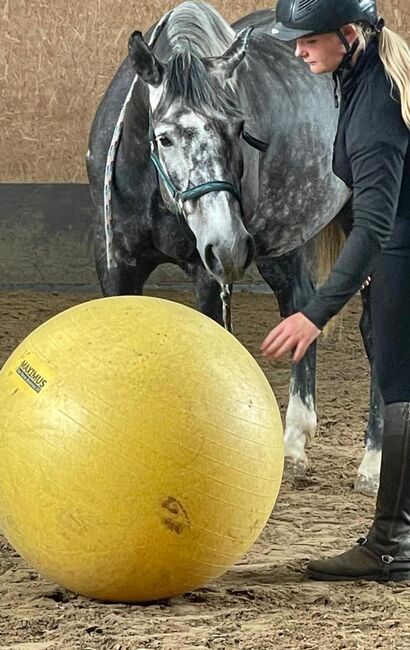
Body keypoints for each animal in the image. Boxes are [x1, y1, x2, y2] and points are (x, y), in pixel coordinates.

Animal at [87, 1, 384, 496]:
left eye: (238, 128)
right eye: (164, 136)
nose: (227, 245)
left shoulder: (208, 276)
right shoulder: (117, 267)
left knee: (374, 328)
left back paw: (373, 463)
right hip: (282, 239)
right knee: (299, 304)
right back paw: (293, 445)